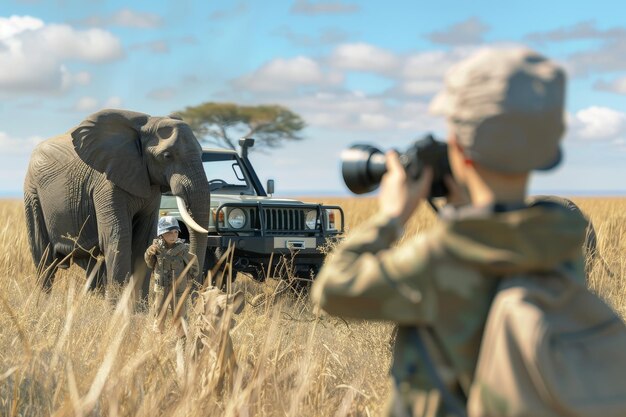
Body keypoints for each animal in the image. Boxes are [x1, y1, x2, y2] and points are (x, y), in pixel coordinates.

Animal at [24, 109, 210, 298]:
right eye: (166, 156)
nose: (194, 294)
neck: (145, 125)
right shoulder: (106, 183)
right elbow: (119, 236)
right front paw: (116, 305)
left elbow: (142, 240)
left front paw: (138, 306)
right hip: (33, 194)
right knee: (44, 259)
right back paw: (41, 301)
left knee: (89, 260)